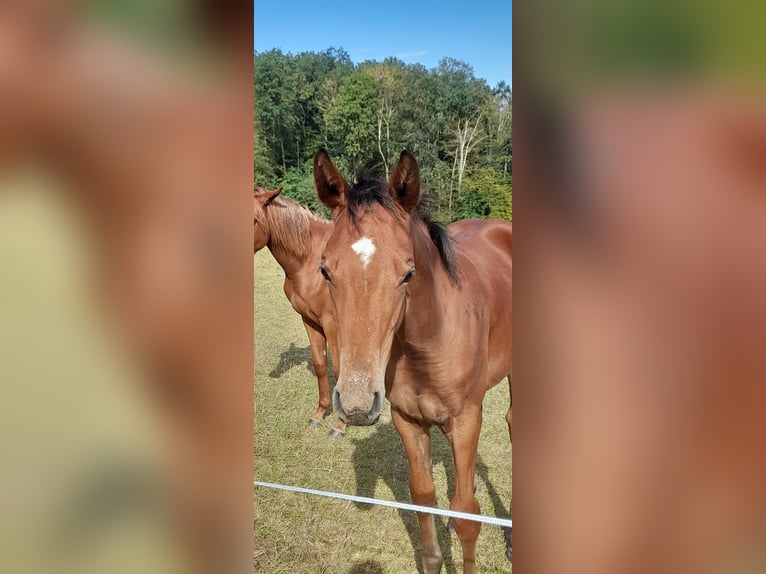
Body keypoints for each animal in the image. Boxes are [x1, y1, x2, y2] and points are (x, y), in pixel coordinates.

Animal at [254, 187, 346, 437]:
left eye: (254, 220)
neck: (311, 261)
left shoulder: (332, 324)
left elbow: (338, 368)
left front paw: (340, 424)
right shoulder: (310, 321)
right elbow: (320, 364)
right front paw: (319, 414)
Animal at [313, 149, 512, 573]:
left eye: (408, 273)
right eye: (325, 270)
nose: (355, 404)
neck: (429, 345)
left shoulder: (467, 420)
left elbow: (466, 514)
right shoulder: (408, 420)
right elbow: (423, 498)